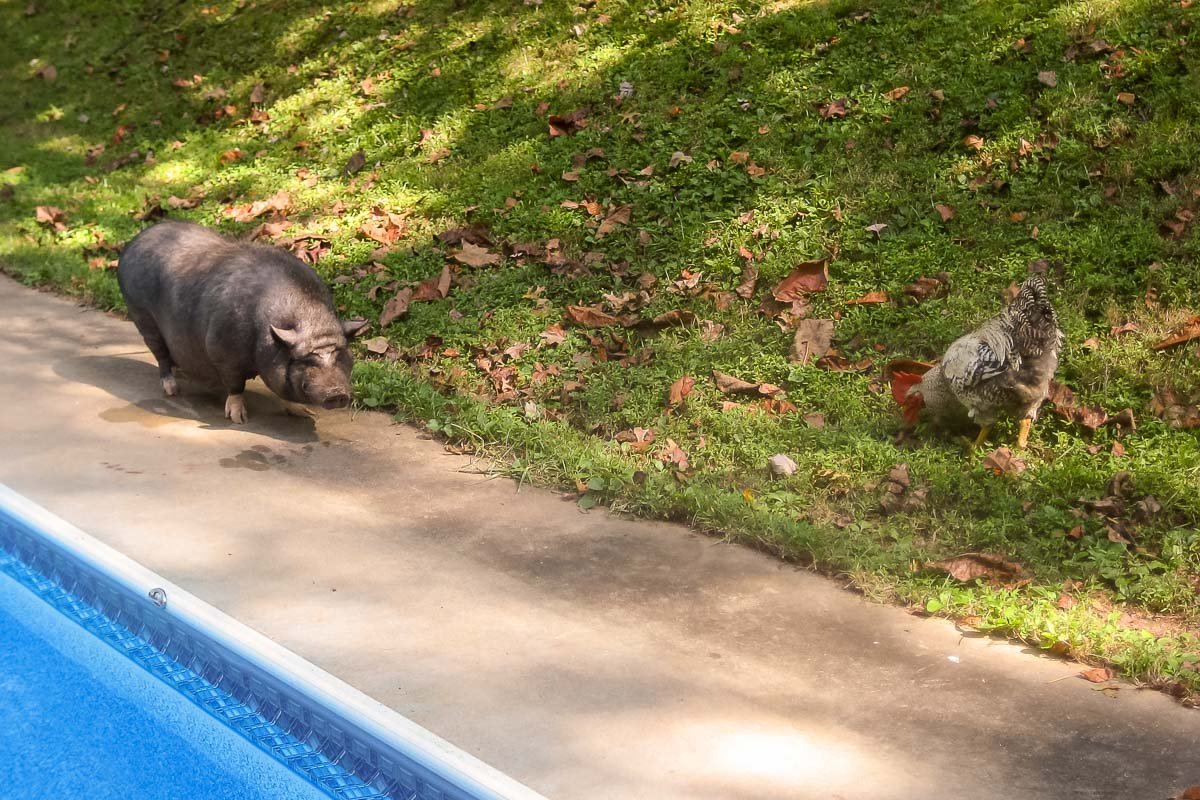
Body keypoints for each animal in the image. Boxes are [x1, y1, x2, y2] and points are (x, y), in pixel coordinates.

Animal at [117, 221, 368, 423]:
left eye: (340, 355)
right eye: (306, 361)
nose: (337, 393)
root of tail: (133, 243)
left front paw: (305, 413)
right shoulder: (222, 352)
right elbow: (235, 386)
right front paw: (238, 419)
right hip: (141, 315)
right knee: (160, 355)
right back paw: (172, 389)